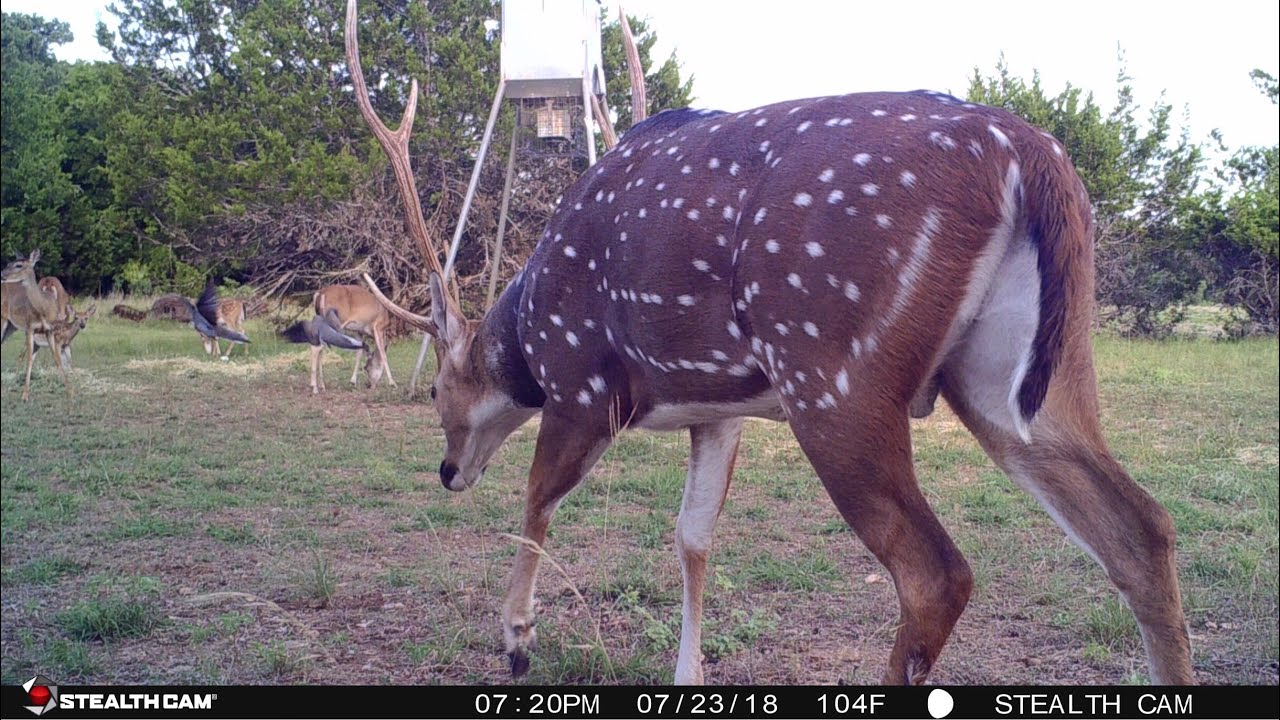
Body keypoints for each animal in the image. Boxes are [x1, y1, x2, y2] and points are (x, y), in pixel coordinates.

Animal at [1, 250, 74, 401]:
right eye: (9, 263)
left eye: (18, 265)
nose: (2, 275)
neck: (44, 308)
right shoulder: (29, 328)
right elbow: (29, 359)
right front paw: (25, 395)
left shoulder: (50, 330)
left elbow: (56, 358)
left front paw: (70, 392)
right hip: (2, 320)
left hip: (10, 326)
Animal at [345, 0, 1193, 686]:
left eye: (436, 388)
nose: (448, 471)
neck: (527, 325)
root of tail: (1032, 154)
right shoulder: (717, 410)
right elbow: (691, 537)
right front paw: (684, 676)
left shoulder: (583, 383)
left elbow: (538, 495)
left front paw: (517, 639)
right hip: (1022, 375)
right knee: (1143, 531)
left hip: (835, 371)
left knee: (938, 574)